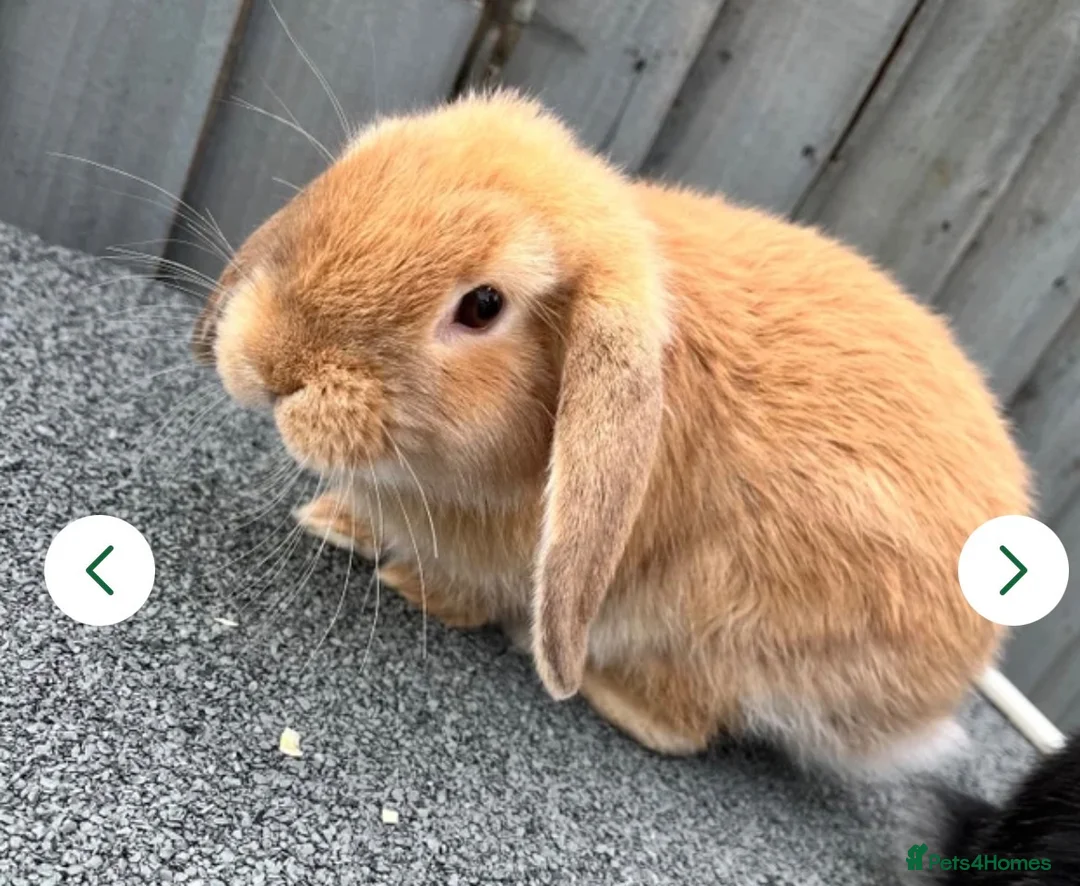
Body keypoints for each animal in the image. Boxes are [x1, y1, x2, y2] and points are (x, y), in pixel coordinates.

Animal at [193, 90, 1030, 771]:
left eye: (483, 305)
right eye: (353, 173)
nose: (271, 366)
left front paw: (409, 583)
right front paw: (333, 520)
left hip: (725, 630)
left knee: (687, 725)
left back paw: (588, 677)